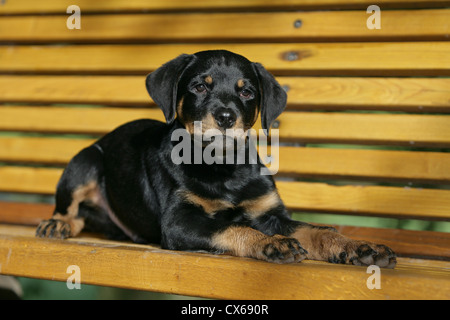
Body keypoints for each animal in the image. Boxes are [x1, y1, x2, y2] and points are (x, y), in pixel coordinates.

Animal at [36, 50, 398, 268]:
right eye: (199, 86)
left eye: (247, 91)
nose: (225, 116)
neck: (223, 168)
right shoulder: (179, 221)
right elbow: (232, 226)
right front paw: (273, 244)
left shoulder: (270, 213)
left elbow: (317, 230)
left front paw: (361, 247)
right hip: (85, 161)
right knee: (71, 209)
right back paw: (57, 224)